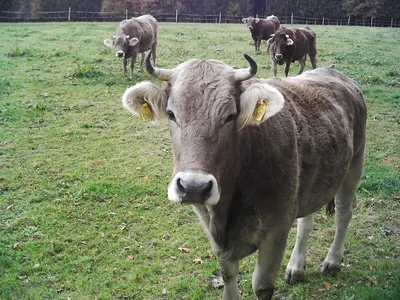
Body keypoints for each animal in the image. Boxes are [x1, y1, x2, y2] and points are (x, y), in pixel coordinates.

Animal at [121, 52, 366, 300]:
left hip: (354, 165)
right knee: (307, 219)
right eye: (171, 114)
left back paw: (333, 261)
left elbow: (262, 286)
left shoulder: (276, 230)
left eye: (230, 116)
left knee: (344, 212)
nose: (193, 187)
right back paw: (296, 267)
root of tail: (335, 73)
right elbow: (228, 276)